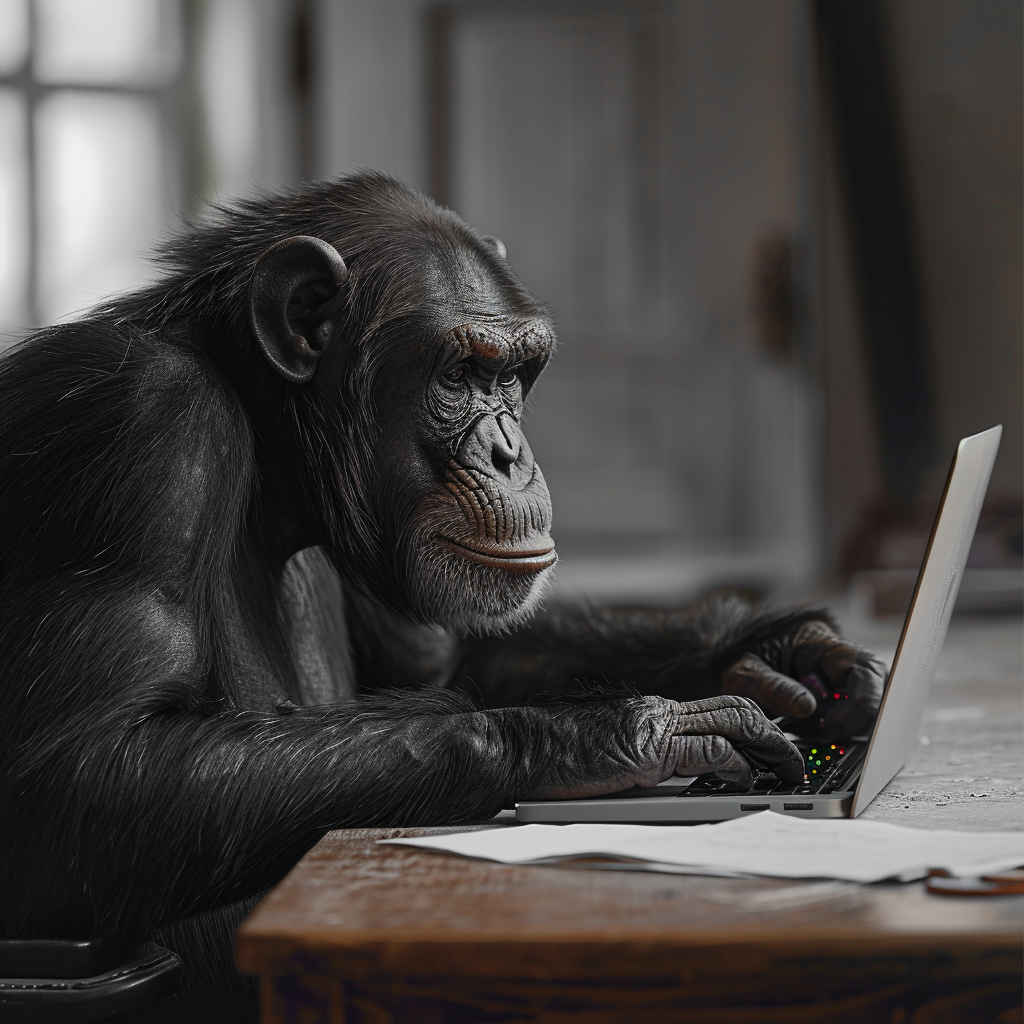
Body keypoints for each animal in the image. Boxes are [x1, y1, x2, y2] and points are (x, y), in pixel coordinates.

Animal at [0, 172, 880, 1019]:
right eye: (460, 374)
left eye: (514, 375)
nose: (510, 453)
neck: (270, 453)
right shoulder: (136, 429)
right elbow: (84, 781)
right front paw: (623, 733)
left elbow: (447, 663)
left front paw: (773, 656)